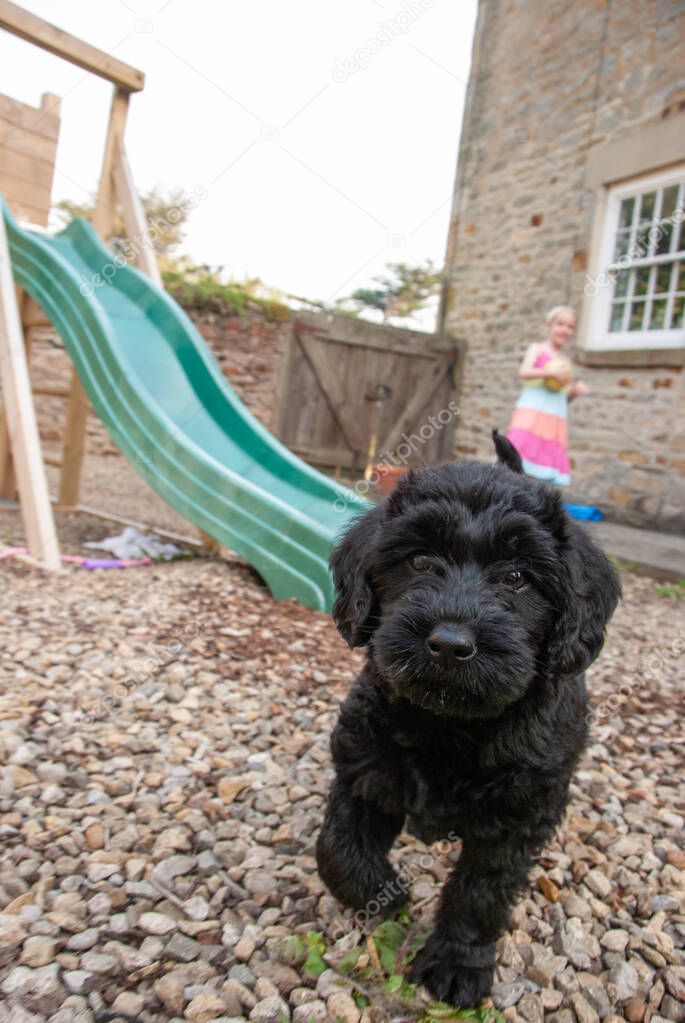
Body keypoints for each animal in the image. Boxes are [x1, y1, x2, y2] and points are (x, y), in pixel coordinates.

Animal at [316, 431, 621, 1006]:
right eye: (419, 560)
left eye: (518, 577)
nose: (450, 644)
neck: (452, 725)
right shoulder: (365, 767)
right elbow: (337, 850)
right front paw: (385, 895)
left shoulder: (517, 820)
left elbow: (479, 894)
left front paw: (457, 964)